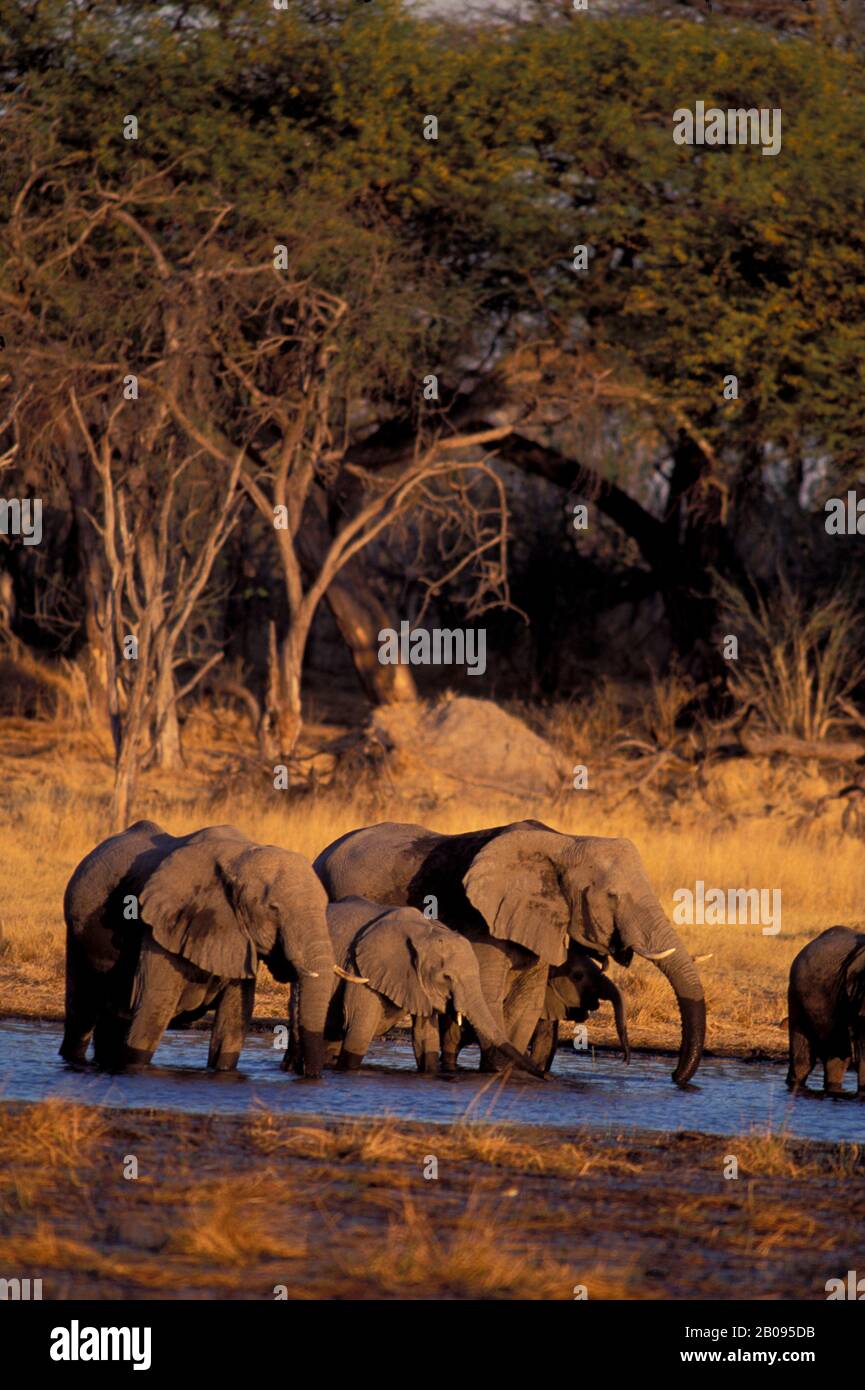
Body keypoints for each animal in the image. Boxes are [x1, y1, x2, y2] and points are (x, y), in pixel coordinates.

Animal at [61, 817, 356, 1078]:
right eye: (273, 909)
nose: (311, 1076)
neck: (241, 856)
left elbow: (232, 1023)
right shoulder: (161, 926)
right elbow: (152, 1011)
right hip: (78, 931)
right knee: (83, 1008)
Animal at [292, 895, 547, 1078]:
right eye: (446, 977)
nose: (545, 1076)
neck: (424, 932)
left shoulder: (418, 983)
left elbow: (426, 1039)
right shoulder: (362, 968)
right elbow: (359, 1029)